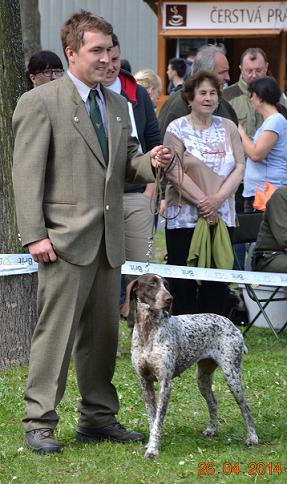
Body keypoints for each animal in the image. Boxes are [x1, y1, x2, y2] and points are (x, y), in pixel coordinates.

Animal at [120, 274, 260, 460]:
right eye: (152, 284)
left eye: (166, 285)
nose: (169, 299)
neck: (148, 330)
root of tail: (231, 324)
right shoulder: (145, 382)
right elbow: (152, 418)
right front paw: (151, 444)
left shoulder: (165, 384)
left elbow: (158, 421)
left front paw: (153, 449)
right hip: (202, 379)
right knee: (213, 402)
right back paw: (212, 429)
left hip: (232, 376)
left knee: (246, 408)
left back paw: (252, 438)